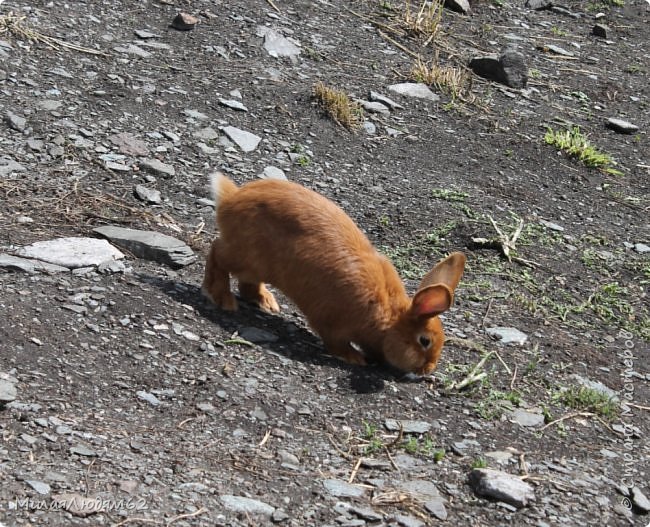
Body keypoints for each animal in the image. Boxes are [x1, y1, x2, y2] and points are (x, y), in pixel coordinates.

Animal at [202, 173, 466, 376]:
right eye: (424, 341)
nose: (428, 370)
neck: (389, 318)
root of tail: (230, 200)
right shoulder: (333, 323)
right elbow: (335, 343)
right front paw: (354, 358)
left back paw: (266, 302)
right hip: (246, 258)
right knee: (217, 254)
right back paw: (222, 298)